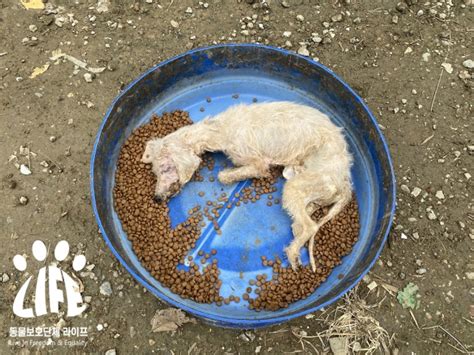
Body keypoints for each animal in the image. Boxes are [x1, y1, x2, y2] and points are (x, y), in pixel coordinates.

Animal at [141, 101, 352, 272]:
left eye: (165, 167)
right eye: (155, 172)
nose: (156, 198)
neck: (221, 130)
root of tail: (345, 182)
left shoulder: (257, 163)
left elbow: (224, 176)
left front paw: (228, 175)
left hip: (298, 186)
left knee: (311, 226)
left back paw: (293, 253)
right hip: (304, 185)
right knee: (306, 218)